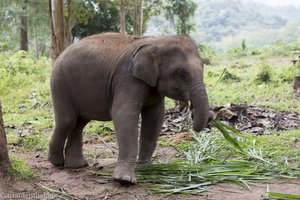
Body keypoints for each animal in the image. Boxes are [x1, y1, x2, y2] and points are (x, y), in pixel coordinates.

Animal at [48, 32, 210, 184]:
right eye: (181, 73)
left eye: (203, 67)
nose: (192, 123)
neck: (157, 41)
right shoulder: (127, 77)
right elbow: (123, 114)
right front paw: (125, 180)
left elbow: (155, 118)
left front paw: (145, 168)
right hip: (60, 83)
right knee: (67, 121)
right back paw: (56, 162)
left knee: (79, 123)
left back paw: (77, 165)